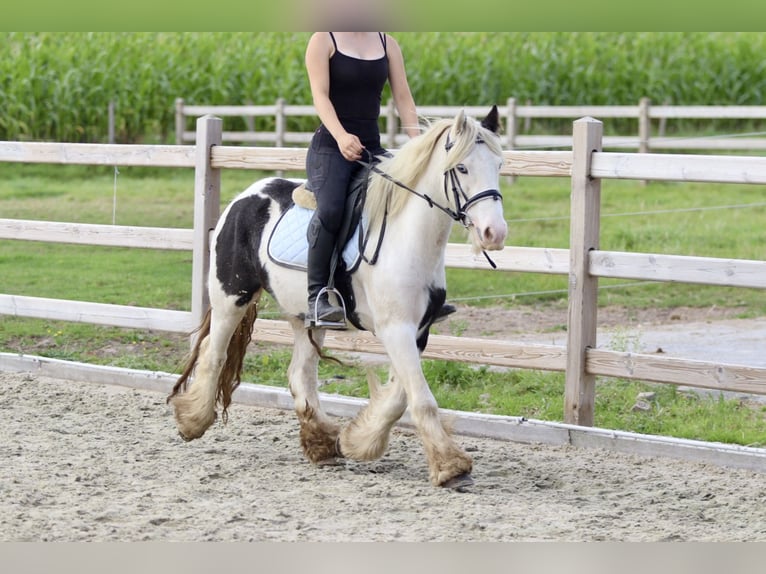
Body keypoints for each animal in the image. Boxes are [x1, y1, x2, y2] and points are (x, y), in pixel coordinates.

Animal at [171, 107, 512, 490]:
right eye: (462, 168)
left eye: (499, 165)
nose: (494, 233)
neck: (407, 237)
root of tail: (246, 195)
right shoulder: (395, 329)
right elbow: (420, 398)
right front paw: (451, 467)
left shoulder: (417, 330)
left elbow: (400, 396)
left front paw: (357, 443)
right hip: (231, 298)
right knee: (213, 355)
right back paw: (191, 422)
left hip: (305, 317)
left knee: (300, 374)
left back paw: (322, 444)